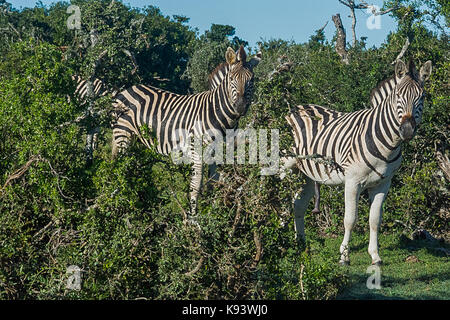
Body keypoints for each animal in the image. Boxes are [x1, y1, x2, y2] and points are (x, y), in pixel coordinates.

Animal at [110, 45, 262, 219]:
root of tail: (125, 90)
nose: (241, 107)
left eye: (252, 80)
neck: (219, 113)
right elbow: (196, 184)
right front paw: (193, 217)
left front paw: (213, 213)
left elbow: (213, 183)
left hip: (138, 140)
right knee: (121, 167)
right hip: (123, 136)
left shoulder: (218, 152)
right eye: (231, 79)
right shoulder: (196, 150)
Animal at [282, 60, 432, 264]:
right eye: (398, 96)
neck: (386, 144)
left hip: (306, 174)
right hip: (283, 166)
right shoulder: (352, 181)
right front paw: (344, 256)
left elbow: (375, 220)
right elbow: (350, 219)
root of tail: (295, 107)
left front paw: (375, 255)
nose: (407, 130)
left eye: (422, 97)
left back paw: (301, 245)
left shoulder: (383, 184)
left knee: (298, 205)